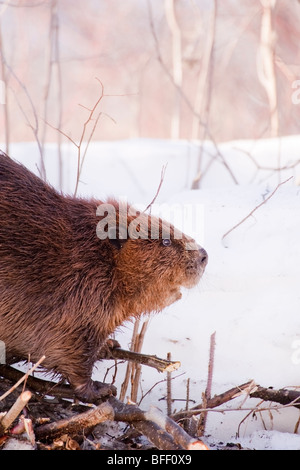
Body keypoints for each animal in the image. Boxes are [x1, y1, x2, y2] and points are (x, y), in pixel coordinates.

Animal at [0, 151, 207, 400]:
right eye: (165, 241)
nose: (204, 256)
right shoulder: (76, 301)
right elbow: (69, 352)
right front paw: (100, 388)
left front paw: (110, 345)